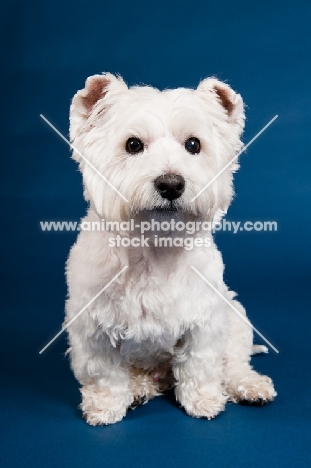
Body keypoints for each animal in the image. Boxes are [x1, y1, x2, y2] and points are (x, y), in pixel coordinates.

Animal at [66, 72, 278, 424]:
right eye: (133, 144)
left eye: (193, 144)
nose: (170, 184)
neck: (155, 247)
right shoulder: (92, 326)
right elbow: (104, 371)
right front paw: (105, 406)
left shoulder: (205, 319)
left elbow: (200, 362)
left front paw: (203, 400)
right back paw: (138, 389)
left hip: (235, 315)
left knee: (234, 361)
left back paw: (249, 386)